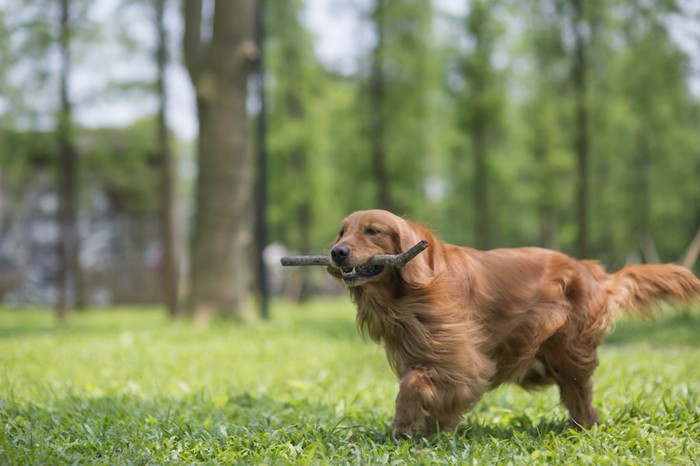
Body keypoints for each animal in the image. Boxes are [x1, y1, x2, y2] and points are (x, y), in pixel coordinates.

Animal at [326, 210, 700, 436]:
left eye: (372, 231)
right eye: (341, 232)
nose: (336, 253)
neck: (409, 293)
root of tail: (593, 271)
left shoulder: (463, 361)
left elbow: (413, 385)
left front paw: (403, 425)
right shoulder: (424, 353)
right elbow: (425, 390)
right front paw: (431, 431)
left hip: (568, 350)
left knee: (581, 396)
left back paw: (583, 428)